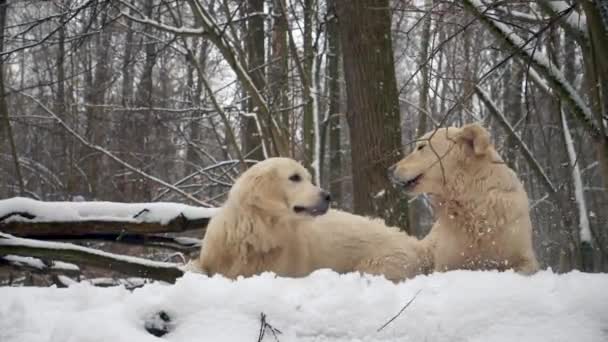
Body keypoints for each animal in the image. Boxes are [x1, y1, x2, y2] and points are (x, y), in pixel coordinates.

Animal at [196, 157, 432, 280]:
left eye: (308, 178)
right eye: (294, 178)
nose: (328, 196)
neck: (258, 232)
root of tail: (413, 243)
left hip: (377, 266)